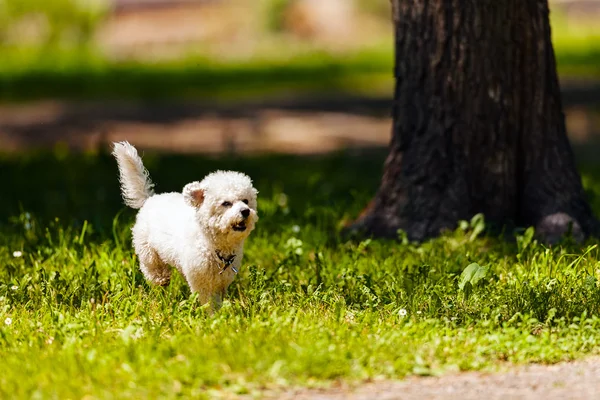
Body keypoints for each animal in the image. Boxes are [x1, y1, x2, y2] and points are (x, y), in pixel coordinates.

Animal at [112, 142, 258, 308]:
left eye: (246, 201)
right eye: (226, 203)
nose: (246, 211)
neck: (212, 246)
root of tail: (150, 199)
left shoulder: (222, 281)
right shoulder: (201, 282)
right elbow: (209, 302)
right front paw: (212, 313)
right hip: (148, 252)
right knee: (154, 270)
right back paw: (161, 283)